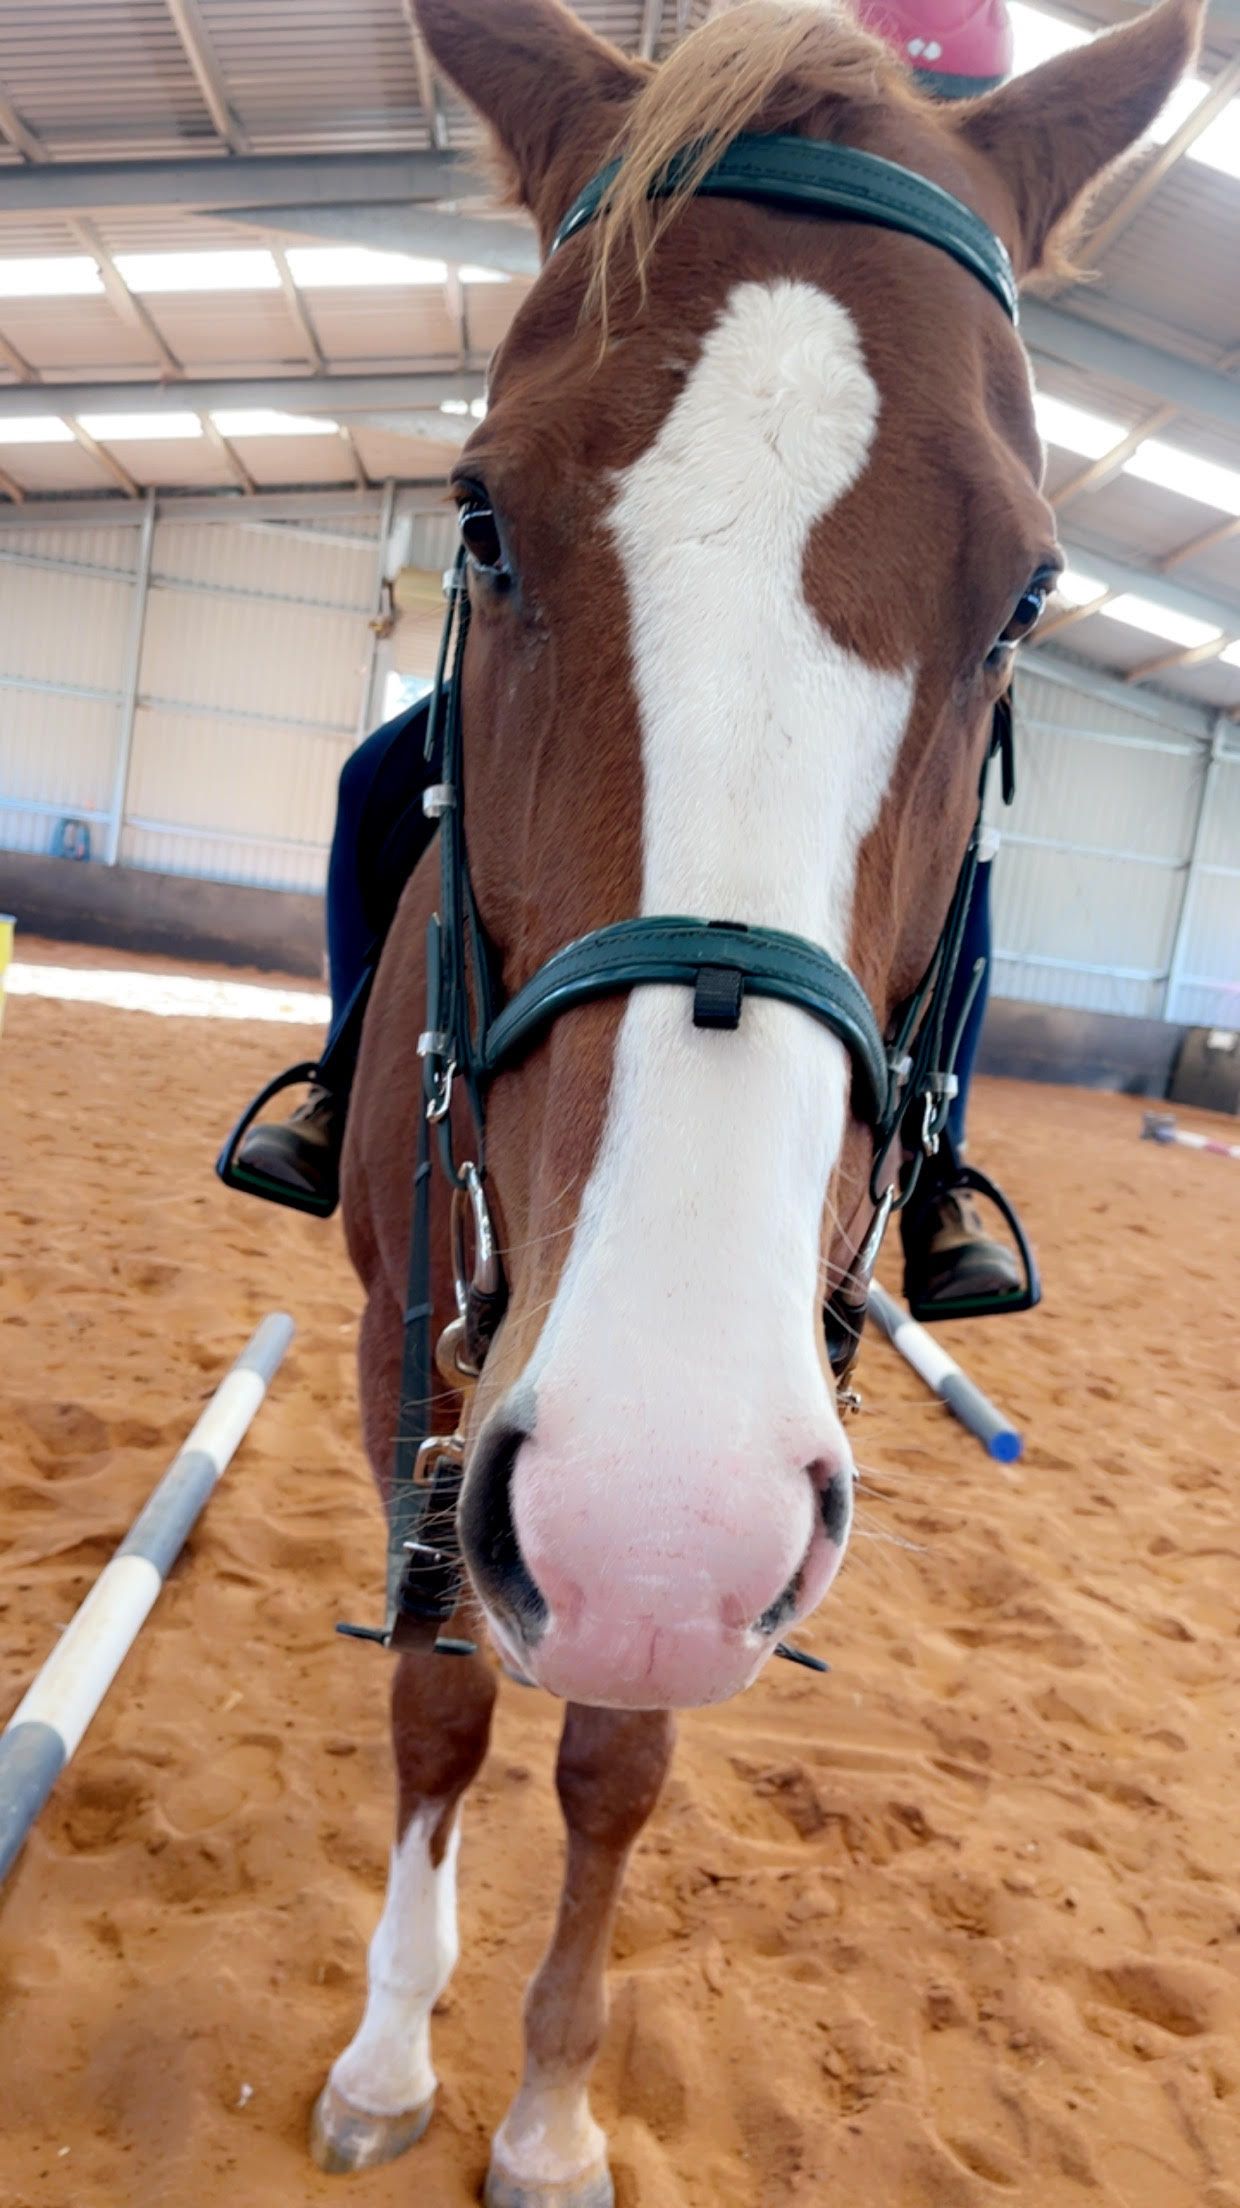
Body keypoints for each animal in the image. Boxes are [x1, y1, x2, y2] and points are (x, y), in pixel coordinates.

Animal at [315, 1, 1202, 2199]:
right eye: (477, 519)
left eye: (1026, 598)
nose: (649, 1522)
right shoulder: (406, 1340)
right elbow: (439, 1707)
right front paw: (387, 2055)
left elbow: (616, 1755)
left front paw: (549, 2106)